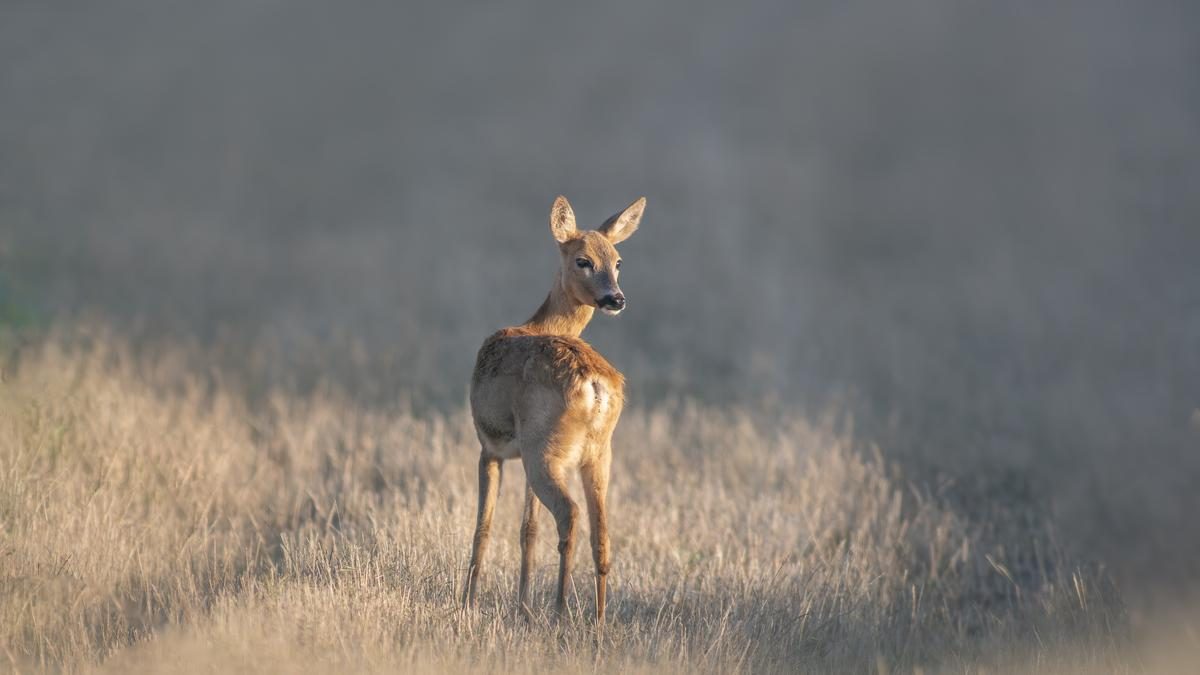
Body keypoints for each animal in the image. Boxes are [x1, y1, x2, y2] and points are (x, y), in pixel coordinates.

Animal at [460, 192, 648, 619]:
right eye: (584, 260)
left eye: (618, 261)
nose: (616, 299)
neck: (539, 325)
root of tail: (595, 387)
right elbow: (527, 530)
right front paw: (522, 607)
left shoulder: (489, 446)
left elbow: (483, 527)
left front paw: (468, 603)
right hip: (595, 452)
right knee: (601, 532)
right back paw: (598, 620)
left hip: (544, 448)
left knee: (569, 514)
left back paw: (561, 610)